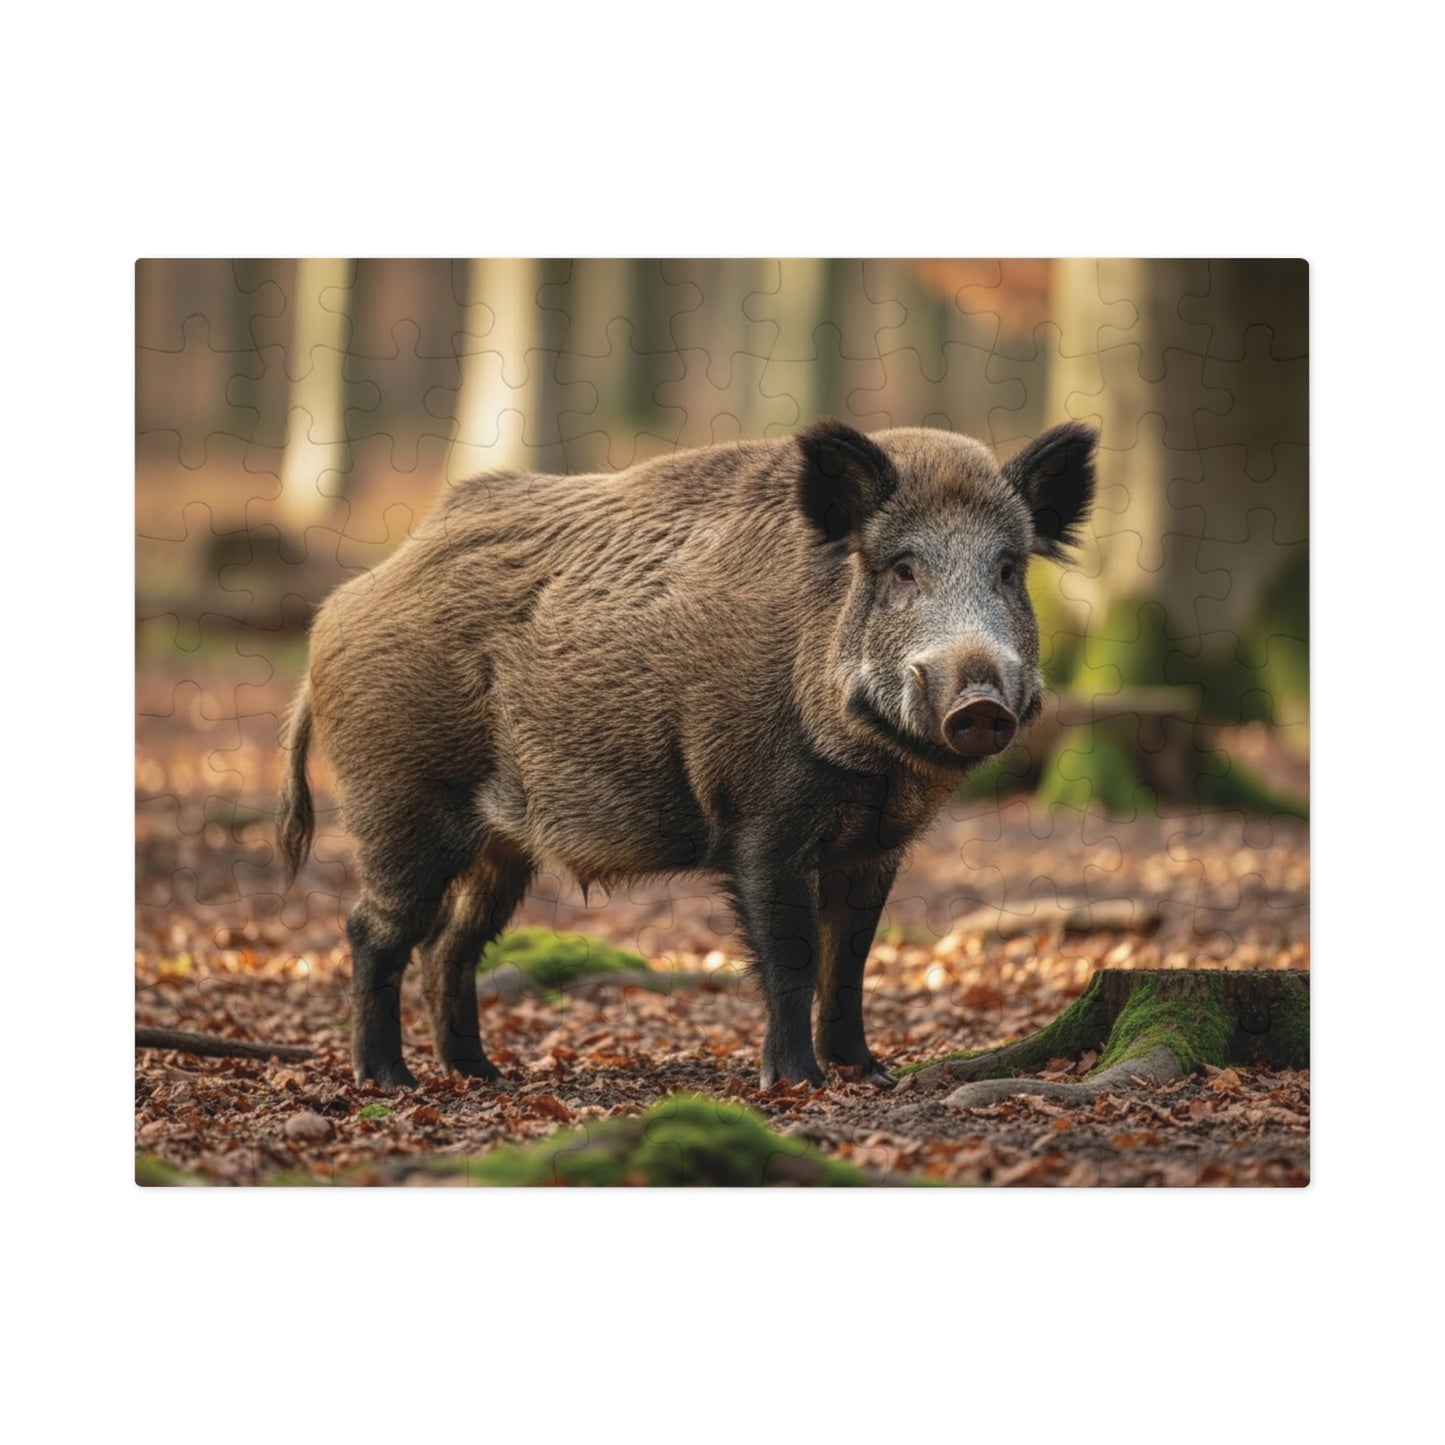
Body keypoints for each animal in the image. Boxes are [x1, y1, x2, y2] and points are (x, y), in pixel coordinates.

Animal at [277, 419, 1097, 1089]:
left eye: (1008, 569)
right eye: (901, 568)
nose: (980, 703)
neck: (875, 768)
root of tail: (333, 614)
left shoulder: (875, 845)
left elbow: (852, 958)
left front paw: (869, 1072)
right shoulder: (761, 818)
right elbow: (794, 955)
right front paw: (798, 1083)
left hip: (500, 844)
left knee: (449, 944)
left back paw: (483, 1074)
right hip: (399, 797)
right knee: (373, 930)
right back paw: (390, 1081)